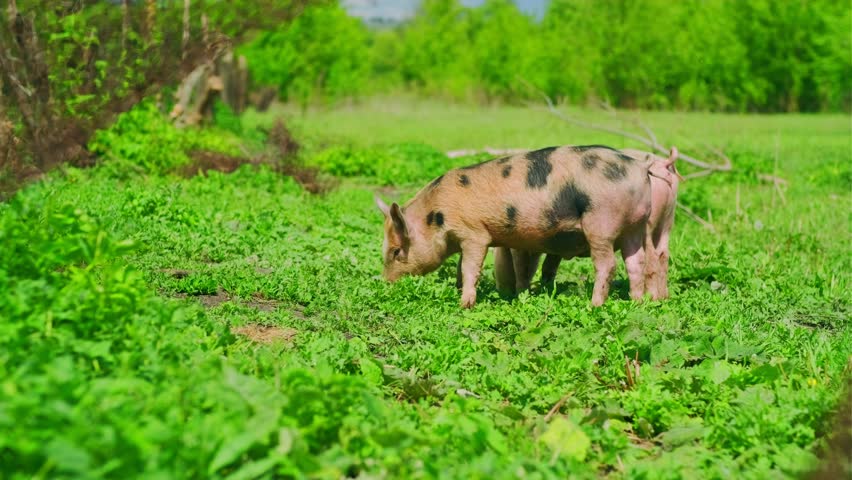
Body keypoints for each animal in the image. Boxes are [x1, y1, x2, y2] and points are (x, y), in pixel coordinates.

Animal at [374, 145, 657, 308]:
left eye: (396, 251)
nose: (386, 283)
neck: (437, 216)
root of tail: (639, 168)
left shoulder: (474, 233)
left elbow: (470, 266)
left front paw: (465, 304)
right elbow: (461, 267)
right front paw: (459, 290)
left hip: (601, 222)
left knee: (607, 264)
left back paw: (594, 305)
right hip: (635, 225)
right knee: (636, 262)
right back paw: (636, 302)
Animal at [493, 147, 681, 301]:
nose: (502, 290)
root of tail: (661, 163)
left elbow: (523, 267)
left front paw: (523, 293)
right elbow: (547, 266)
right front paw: (545, 289)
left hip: (643, 224)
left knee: (649, 258)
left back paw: (650, 298)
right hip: (666, 221)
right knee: (662, 254)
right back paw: (661, 298)